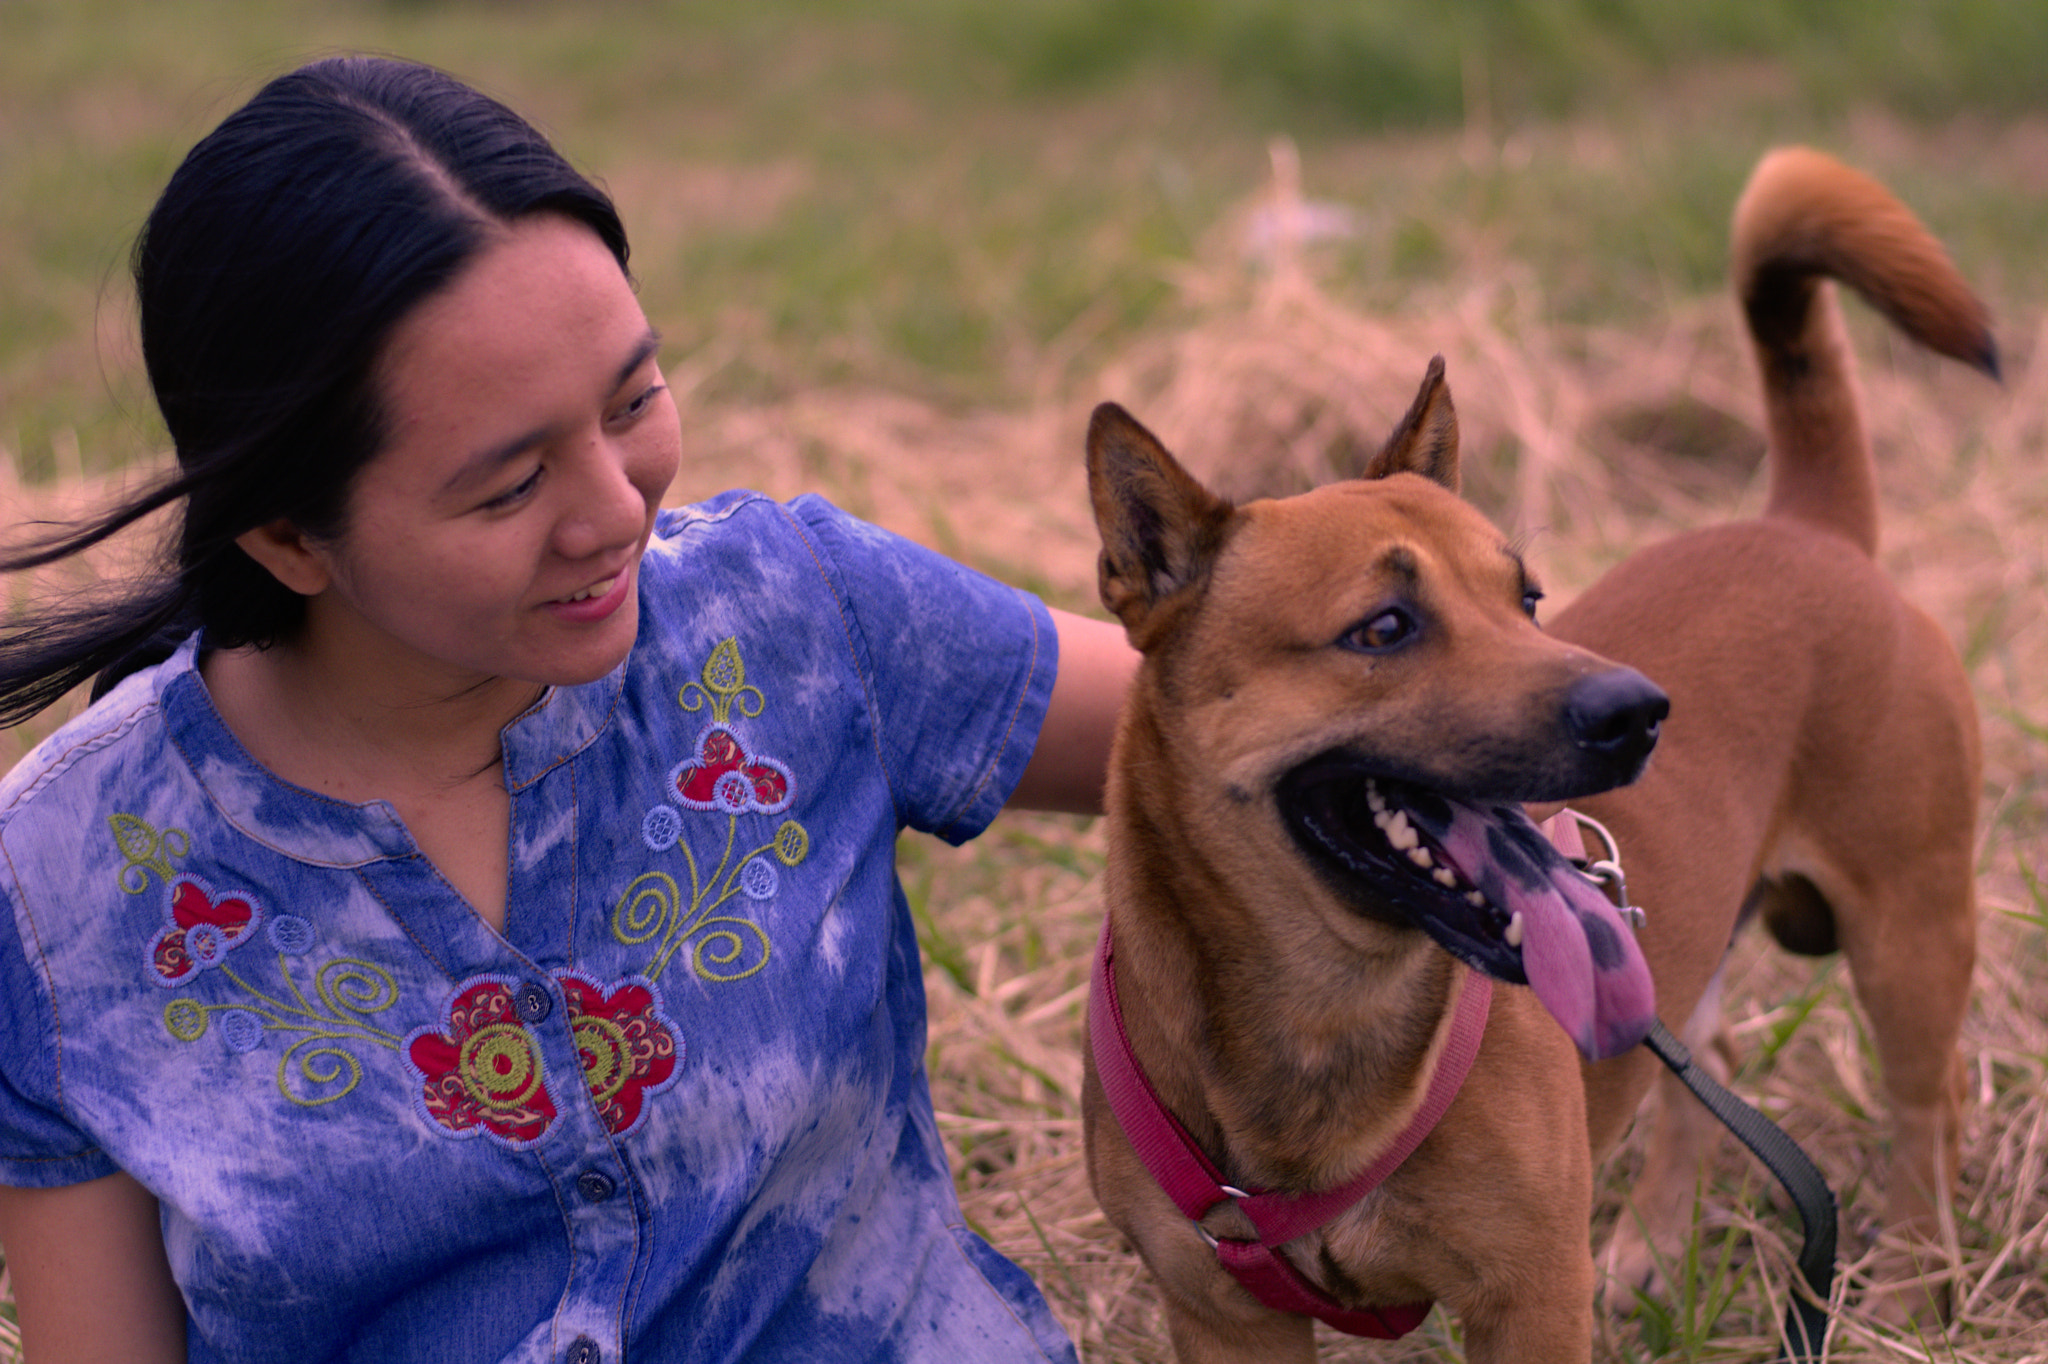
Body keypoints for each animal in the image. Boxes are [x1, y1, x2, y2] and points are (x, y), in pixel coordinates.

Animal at [1081, 143, 1990, 1351]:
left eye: (1527, 600)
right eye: (1382, 628)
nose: (1639, 711)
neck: (1324, 1015)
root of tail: (1807, 525)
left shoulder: (1526, 1300)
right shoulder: (1223, 1317)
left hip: (1909, 929)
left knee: (1925, 1107)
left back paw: (1909, 1289)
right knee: (1706, 1067)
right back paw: (1652, 1248)